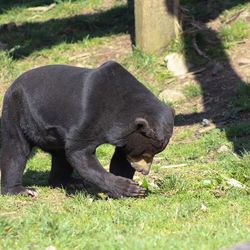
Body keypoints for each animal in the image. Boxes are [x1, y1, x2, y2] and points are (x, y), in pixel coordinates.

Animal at [0, 60, 175, 197]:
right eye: (145, 153)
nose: (144, 171)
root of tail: (12, 84)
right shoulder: (89, 115)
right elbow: (79, 152)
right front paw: (129, 188)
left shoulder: (125, 134)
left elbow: (120, 158)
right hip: (18, 110)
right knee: (16, 150)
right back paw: (22, 190)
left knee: (60, 157)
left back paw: (70, 182)